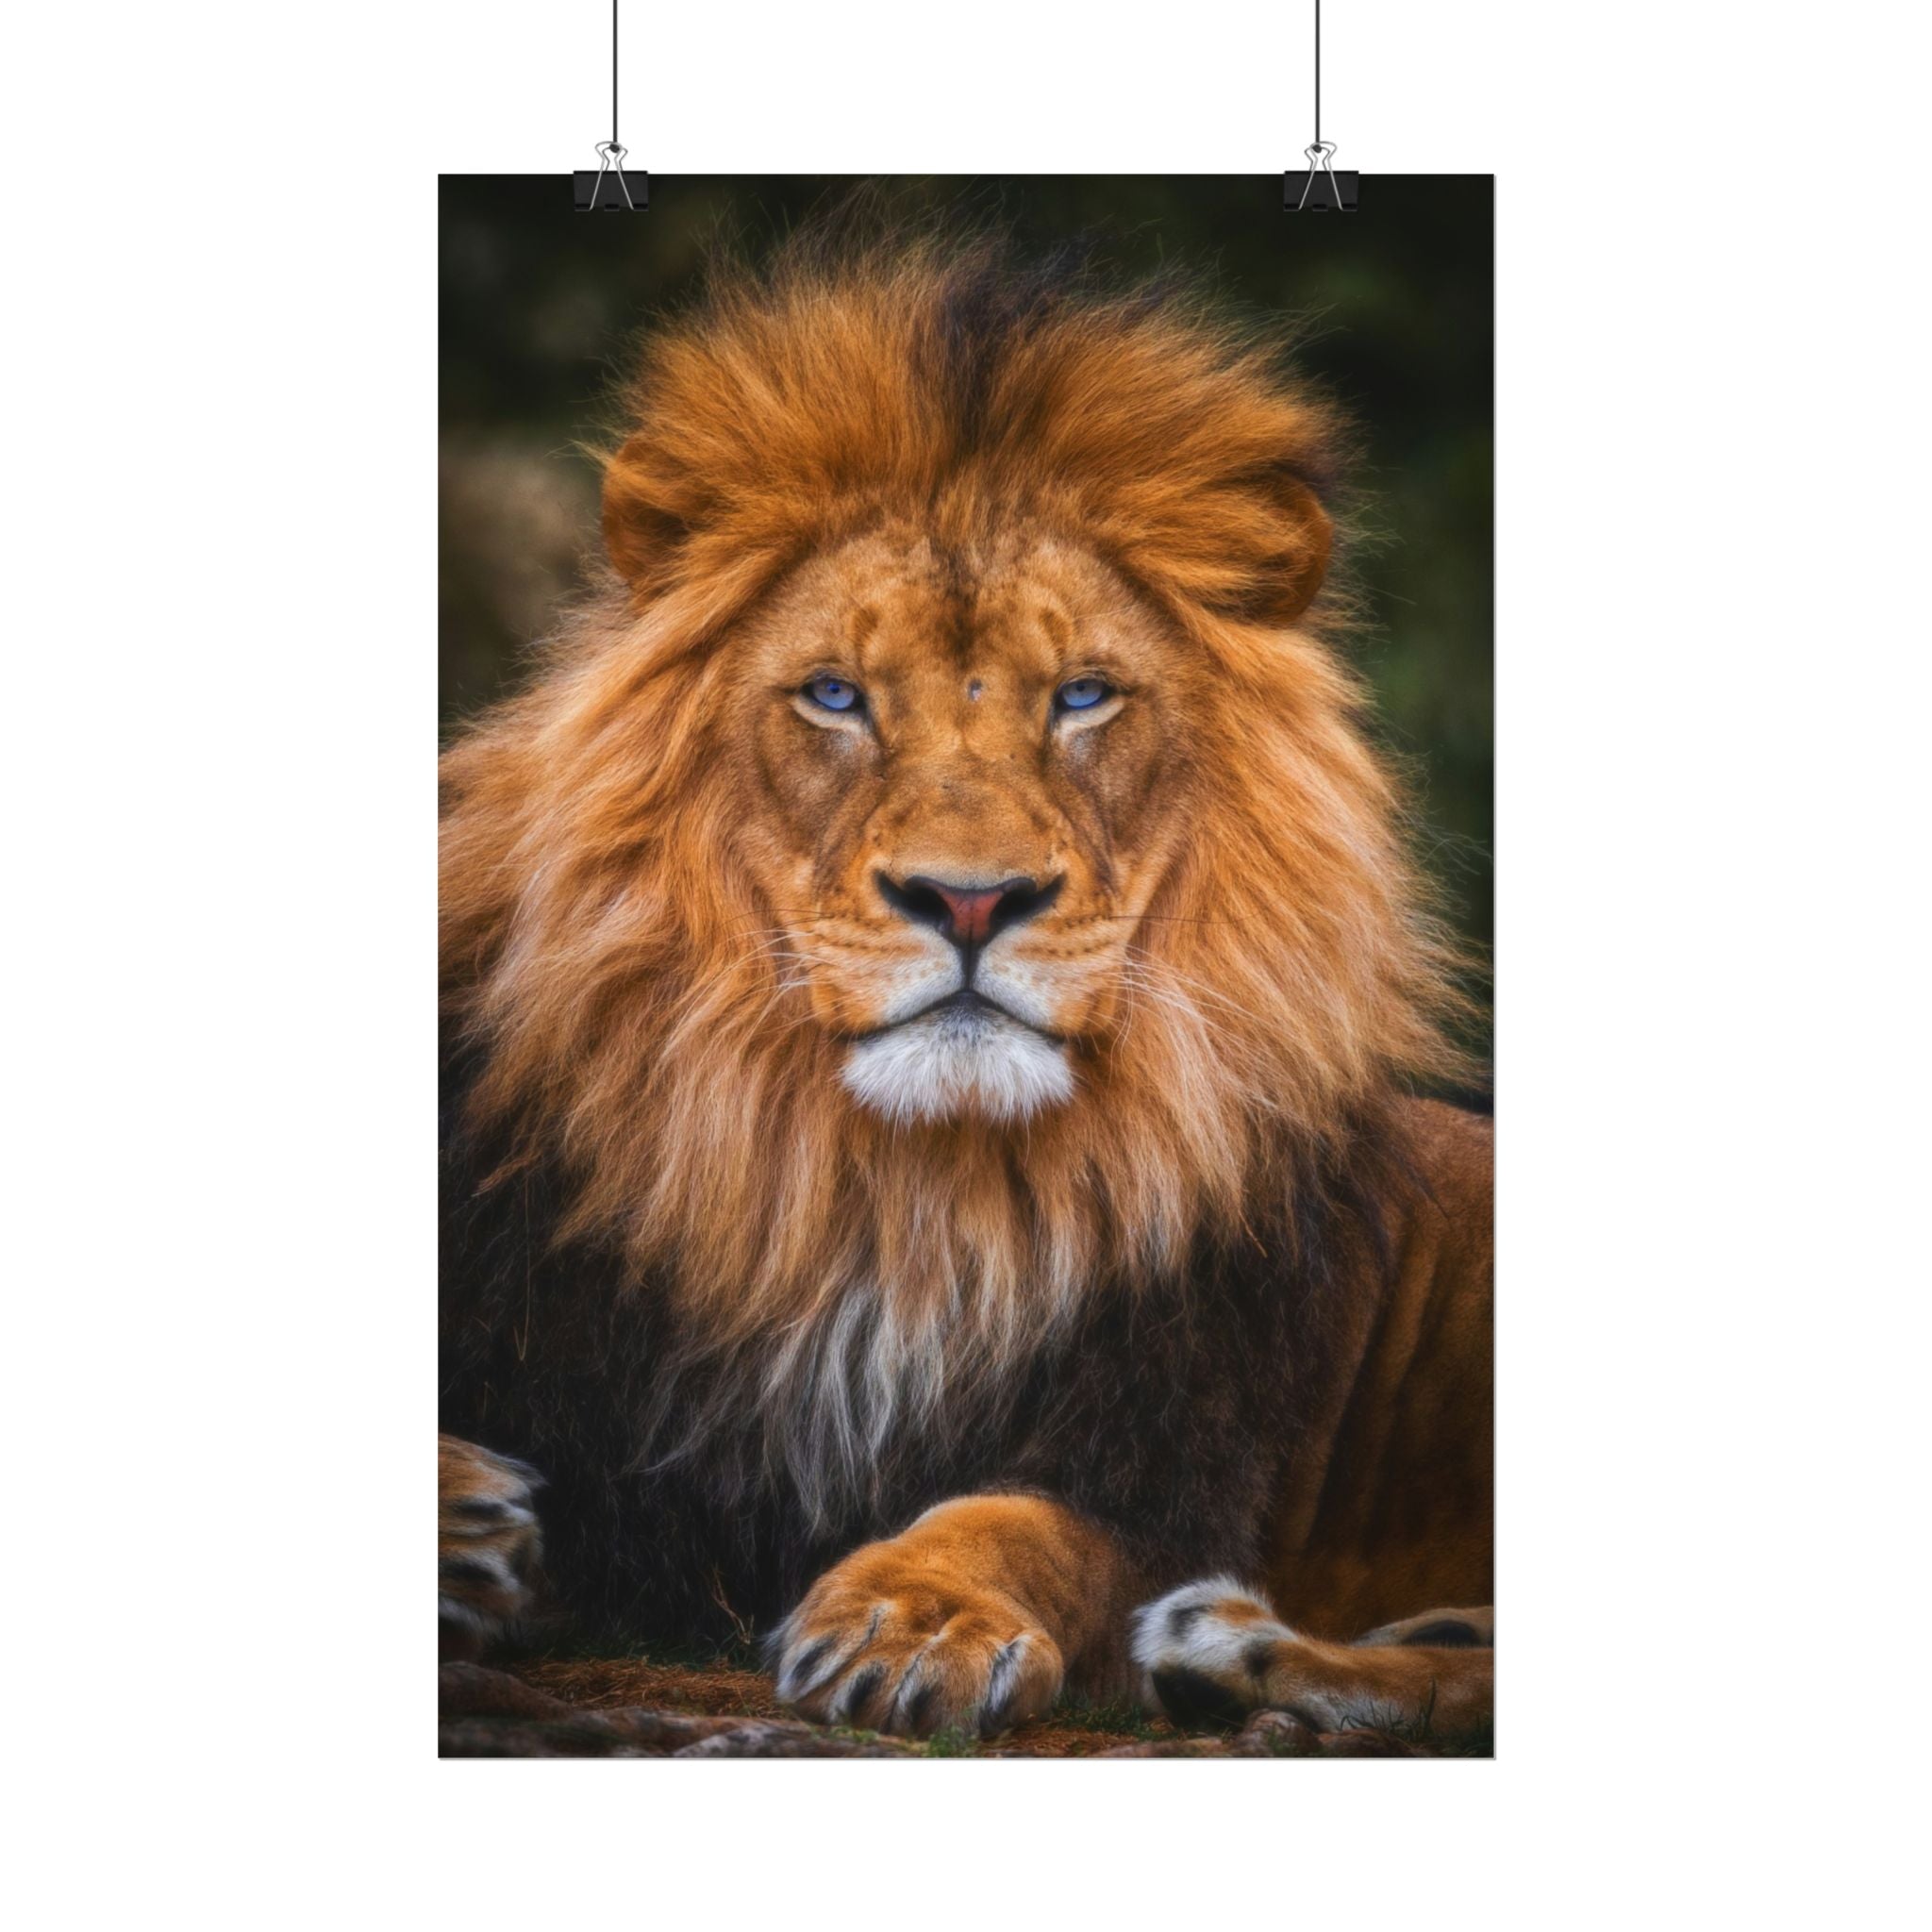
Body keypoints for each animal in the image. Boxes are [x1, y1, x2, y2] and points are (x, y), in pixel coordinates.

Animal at [438, 229, 1494, 1750]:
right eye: (833, 695)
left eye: (1083, 696)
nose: (972, 900)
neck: (894, 1195)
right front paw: (464, 1519)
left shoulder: (1166, 1461)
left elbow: (1019, 1523)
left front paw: (912, 1616)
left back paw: (1237, 1649)